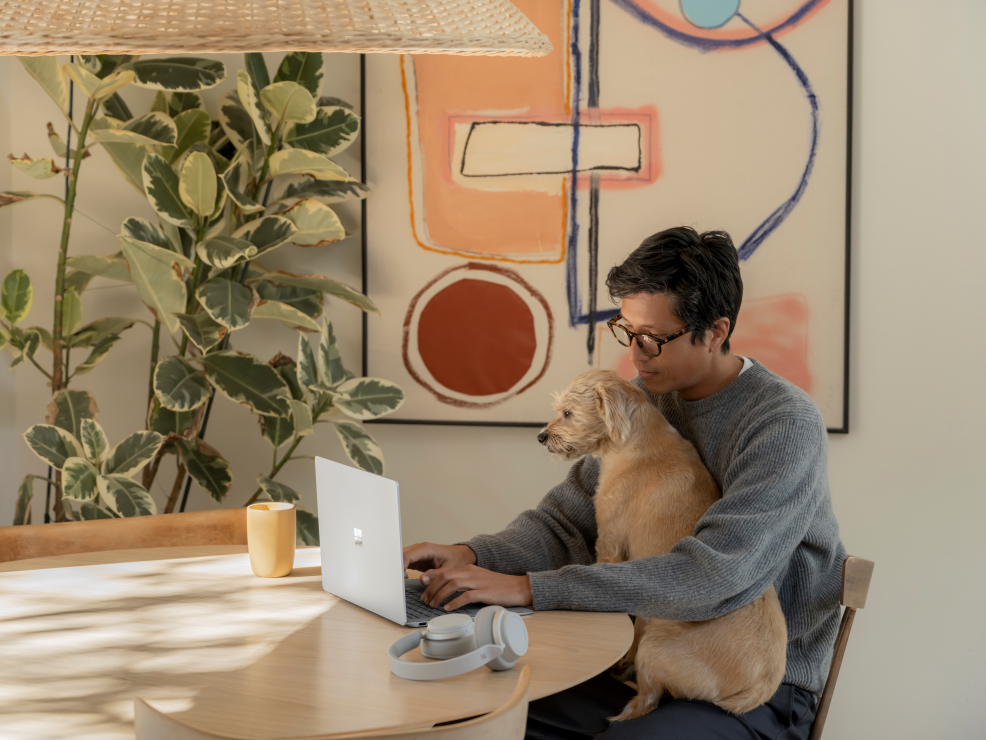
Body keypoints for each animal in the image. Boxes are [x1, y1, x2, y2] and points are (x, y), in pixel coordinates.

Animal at [540, 370, 784, 724]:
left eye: (568, 413)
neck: (635, 440)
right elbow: (637, 621)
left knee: (648, 700)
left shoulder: (610, 545)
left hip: (656, 649)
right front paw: (623, 658)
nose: (541, 436)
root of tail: (757, 692)